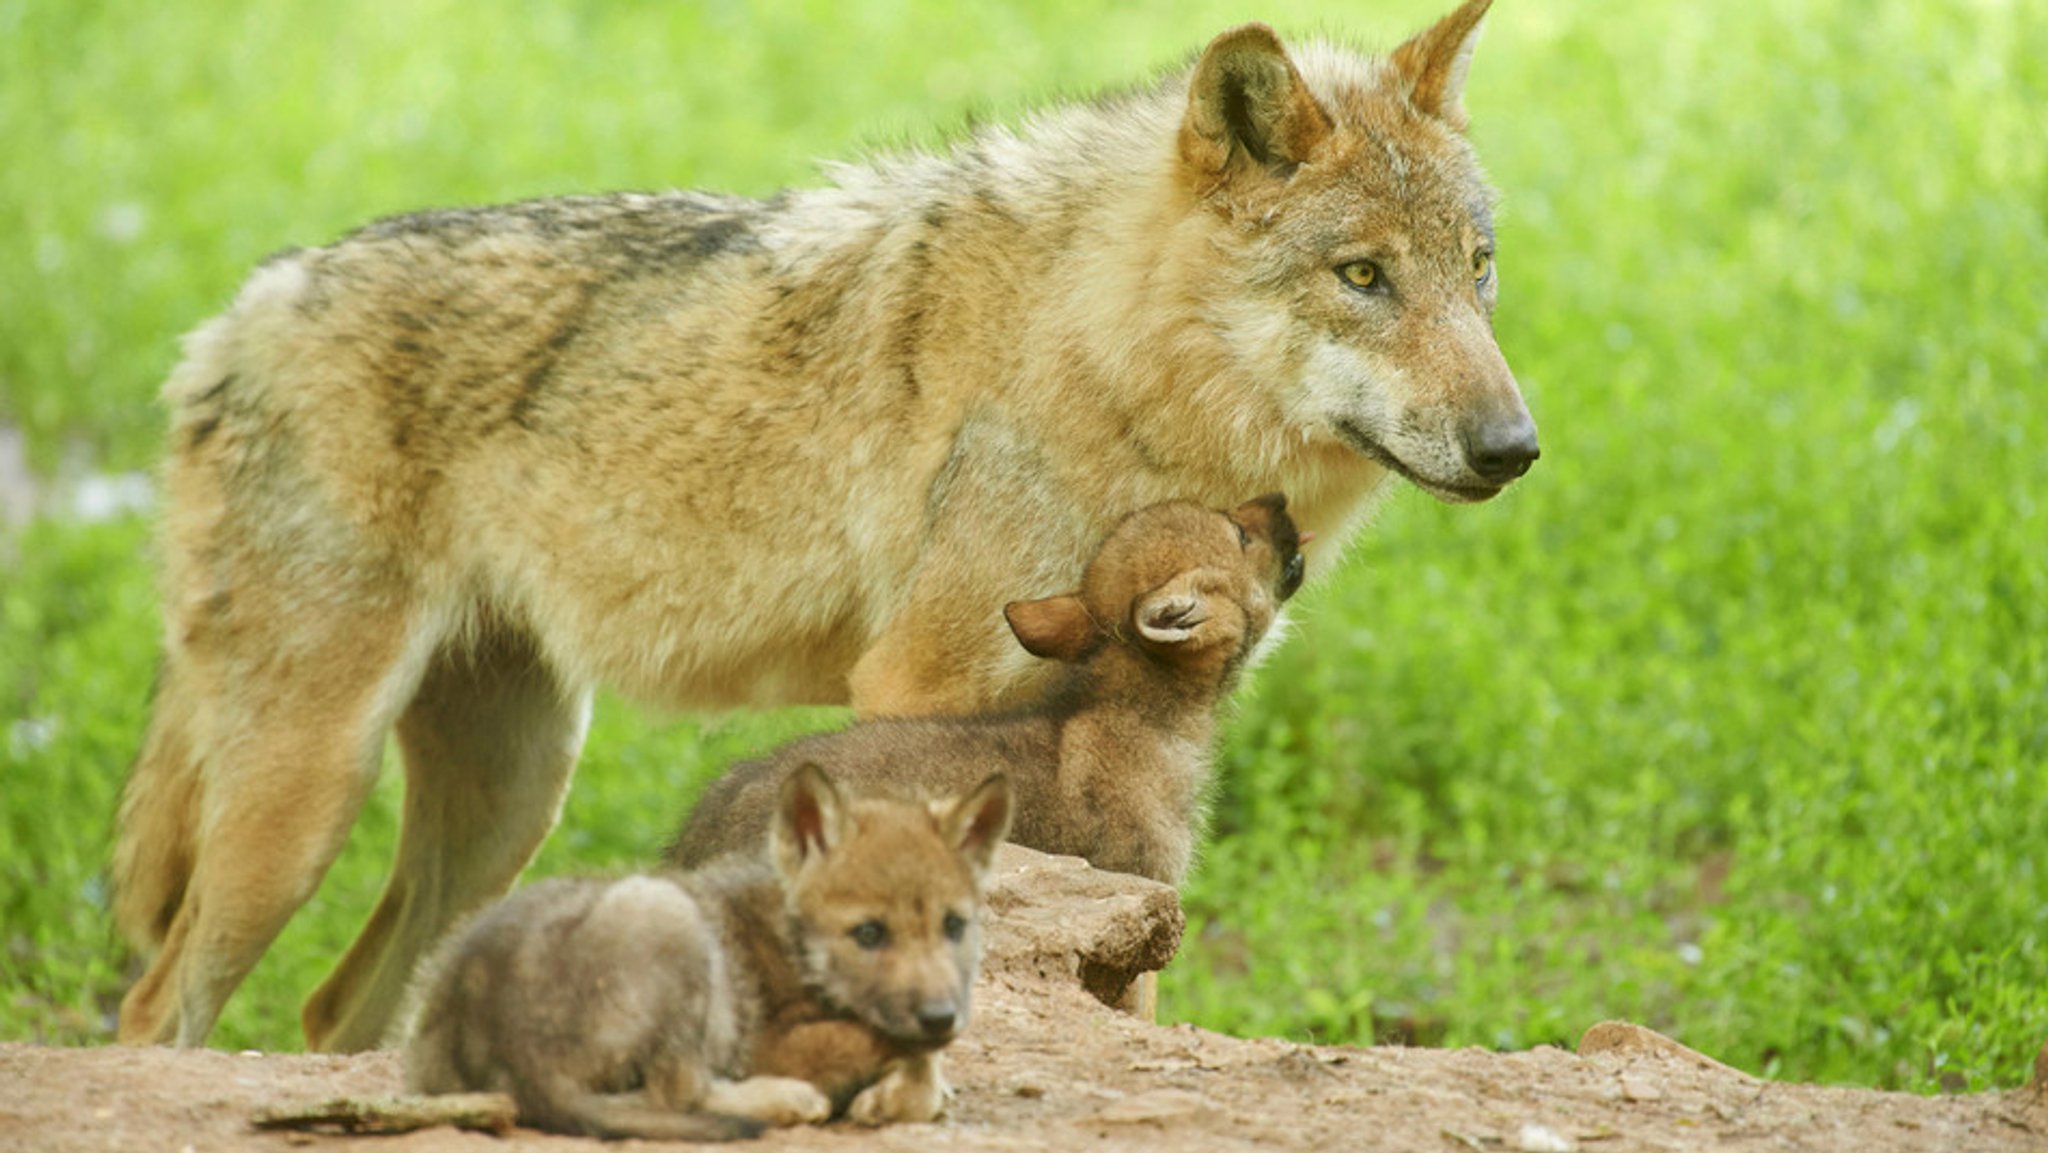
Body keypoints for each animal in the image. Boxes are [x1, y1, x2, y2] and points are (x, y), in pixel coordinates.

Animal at [112, 0, 1540, 1056]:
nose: (1513, 450)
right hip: (302, 804)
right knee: (155, 1011)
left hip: (508, 799)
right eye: (1361, 277)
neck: (1106, 352)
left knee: (333, 1009)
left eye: (1474, 271)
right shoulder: (919, 682)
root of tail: (230, 318)